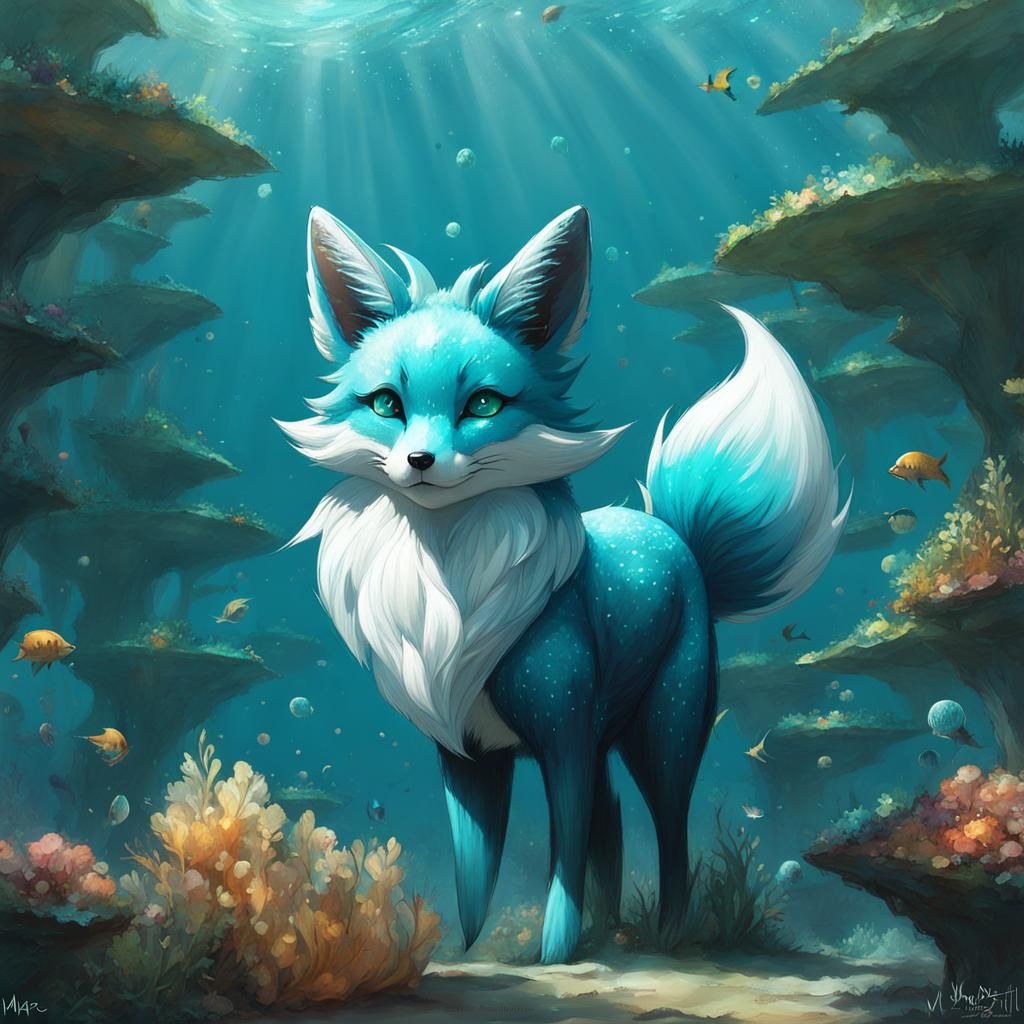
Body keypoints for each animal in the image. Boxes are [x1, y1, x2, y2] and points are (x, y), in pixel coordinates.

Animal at [278, 204, 850, 964]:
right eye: (386, 403)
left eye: (483, 404)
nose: (420, 461)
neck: (449, 588)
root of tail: (676, 536)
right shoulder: (467, 755)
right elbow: (473, 878)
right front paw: (468, 955)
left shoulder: (565, 736)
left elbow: (563, 855)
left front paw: (554, 952)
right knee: (614, 819)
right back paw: (612, 931)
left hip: (662, 731)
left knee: (668, 832)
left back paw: (668, 933)